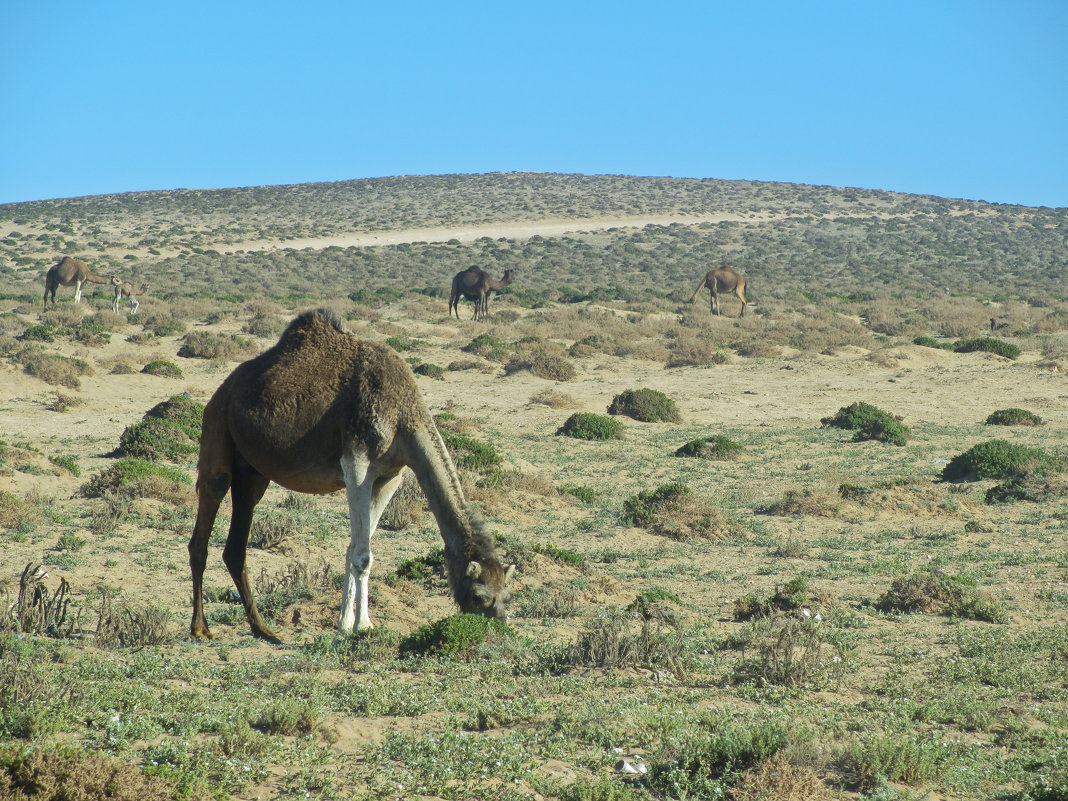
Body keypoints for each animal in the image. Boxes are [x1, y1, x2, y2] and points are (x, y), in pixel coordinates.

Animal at [187, 309, 512, 645]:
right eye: (479, 596)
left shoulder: (390, 476)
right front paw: (363, 625)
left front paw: (344, 623)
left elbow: (355, 547)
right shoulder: (356, 462)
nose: (499, 627)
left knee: (236, 545)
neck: (403, 414)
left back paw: (263, 629)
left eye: (507, 595)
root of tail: (221, 392)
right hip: (217, 431)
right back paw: (200, 628)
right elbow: (362, 555)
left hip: (252, 471)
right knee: (205, 521)